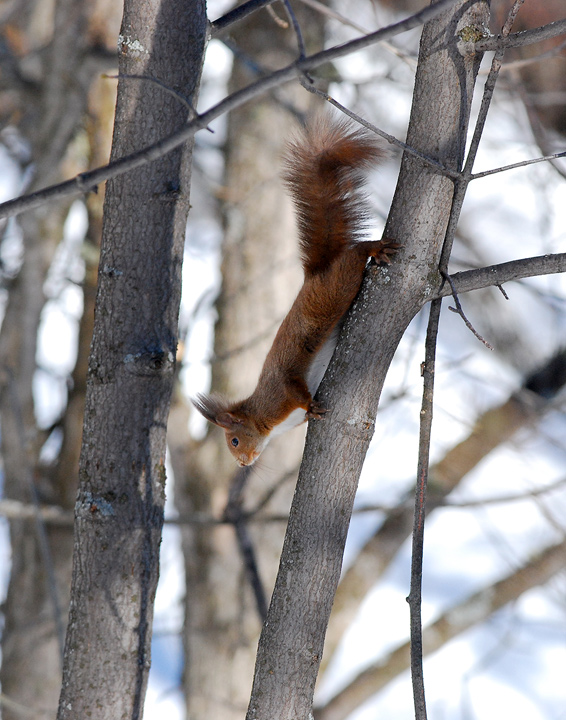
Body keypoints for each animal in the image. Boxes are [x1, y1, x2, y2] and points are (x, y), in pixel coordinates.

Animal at [195, 118, 400, 466]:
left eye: (234, 440)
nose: (243, 463)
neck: (265, 419)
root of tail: (316, 274)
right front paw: (312, 413)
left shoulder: (281, 391)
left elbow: (297, 391)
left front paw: (312, 405)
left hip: (340, 284)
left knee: (355, 254)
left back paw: (373, 248)